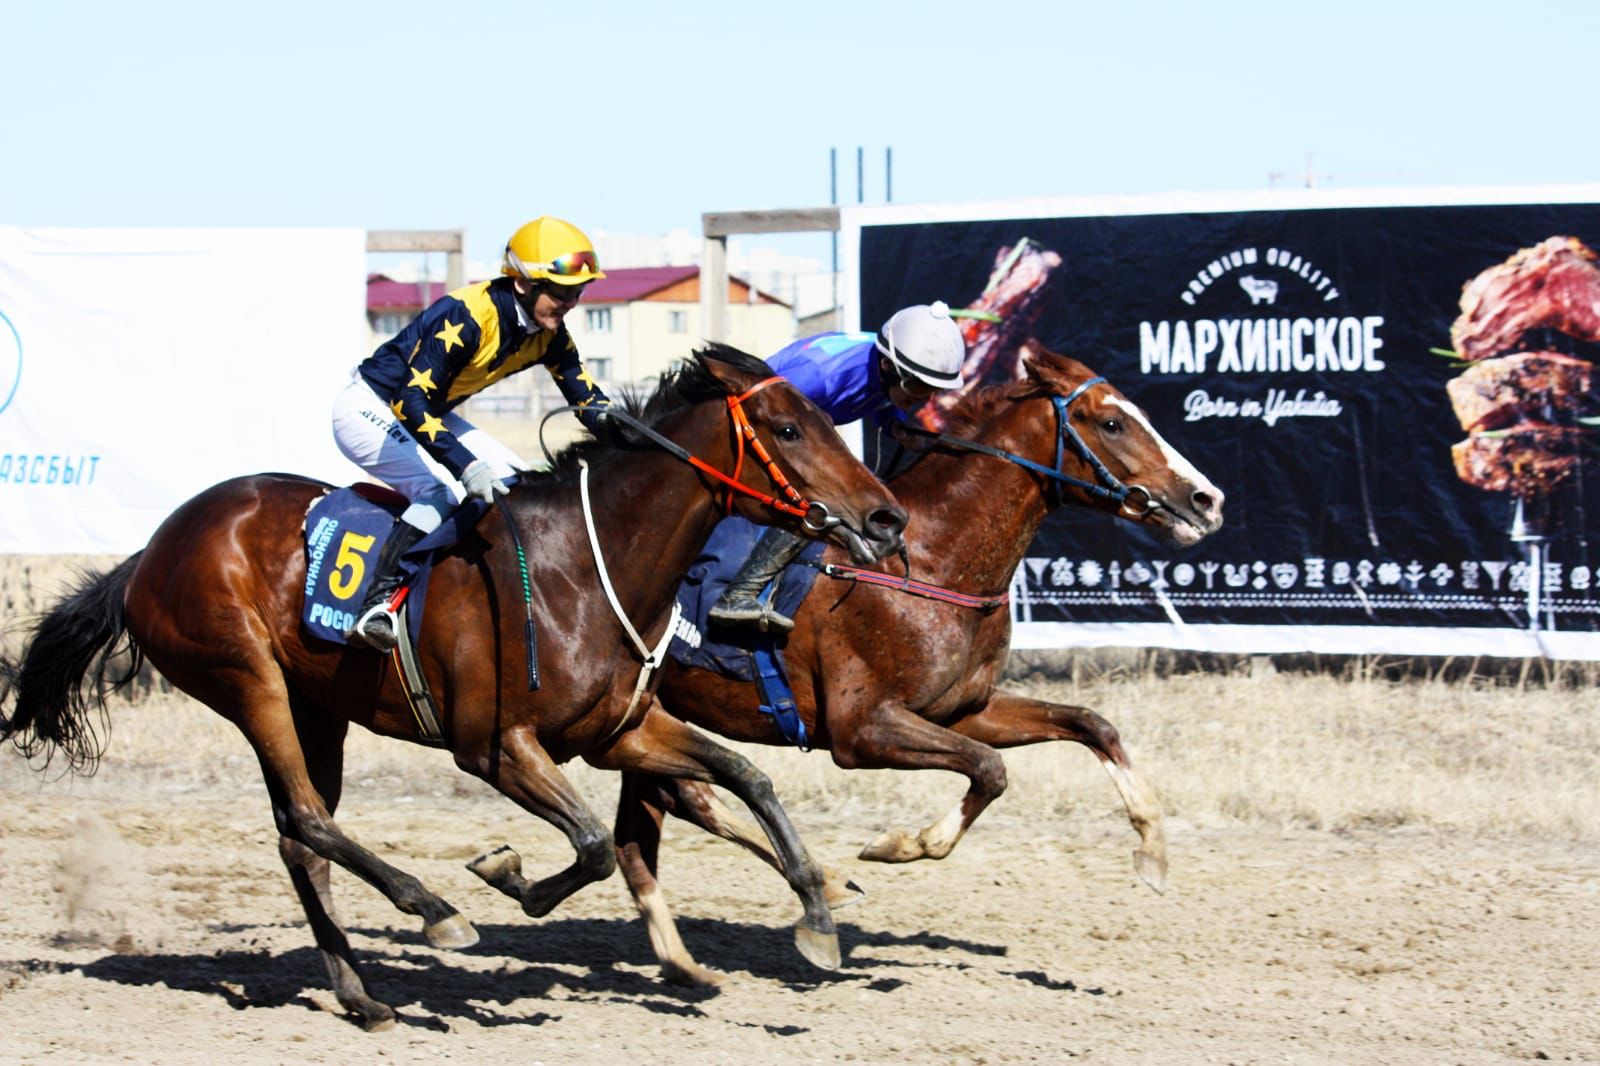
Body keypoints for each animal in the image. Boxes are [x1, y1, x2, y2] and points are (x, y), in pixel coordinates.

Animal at [0, 344, 908, 1024]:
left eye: (829, 418)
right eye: (788, 428)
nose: (886, 518)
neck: (585, 567)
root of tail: (148, 552)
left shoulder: (619, 732)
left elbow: (747, 778)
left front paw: (818, 916)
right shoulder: (494, 746)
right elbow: (589, 844)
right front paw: (505, 876)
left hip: (316, 706)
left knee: (301, 837)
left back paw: (363, 998)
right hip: (246, 679)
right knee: (306, 817)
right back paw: (434, 911)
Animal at [604, 340, 1216, 979]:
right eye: (1113, 422)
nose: (1207, 499)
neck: (929, 559)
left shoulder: (966, 710)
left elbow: (1090, 724)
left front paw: (1152, 849)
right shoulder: (862, 731)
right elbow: (989, 769)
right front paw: (901, 845)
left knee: (665, 808)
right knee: (671, 806)